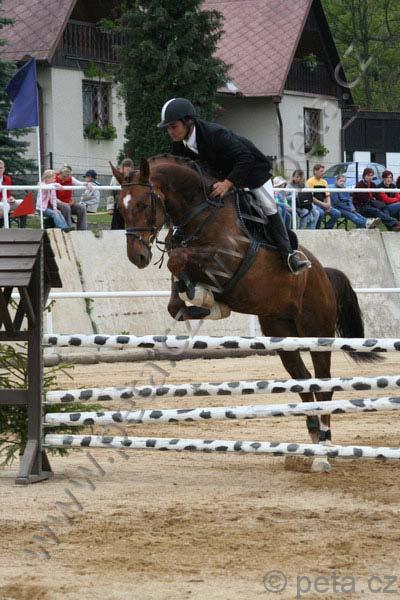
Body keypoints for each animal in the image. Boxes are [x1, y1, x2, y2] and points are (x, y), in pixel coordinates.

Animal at [110, 155, 380, 470]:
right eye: (120, 208)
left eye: (143, 204)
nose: (138, 257)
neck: (200, 213)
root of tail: (324, 273)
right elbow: (176, 298)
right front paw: (208, 302)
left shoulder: (227, 261)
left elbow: (178, 260)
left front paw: (205, 297)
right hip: (282, 334)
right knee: (303, 380)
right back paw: (314, 437)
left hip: (316, 331)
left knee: (323, 384)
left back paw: (323, 454)